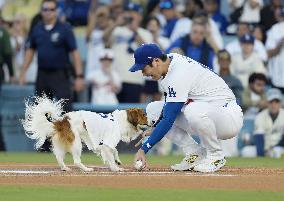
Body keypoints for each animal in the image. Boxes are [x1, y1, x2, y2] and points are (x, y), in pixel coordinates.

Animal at [21, 95, 149, 172]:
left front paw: (116, 161)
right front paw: (115, 168)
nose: (152, 121)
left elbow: (114, 151)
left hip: (62, 145)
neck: (120, 121)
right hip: (77, 143)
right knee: (76, 161)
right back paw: (86, 169)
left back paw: (65, 168)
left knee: (59, 158)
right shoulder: (107, 142)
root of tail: (62, 121)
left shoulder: (101, 144)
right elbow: (111, 154)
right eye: (144, 115)